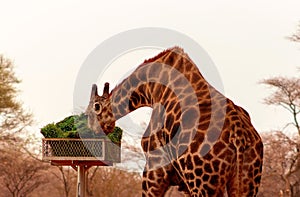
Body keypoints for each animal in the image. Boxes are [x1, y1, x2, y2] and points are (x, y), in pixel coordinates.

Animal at [86, 47, 262, 196]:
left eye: (89, 113)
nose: (90, 131)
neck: (151, 88)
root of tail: (239, 136)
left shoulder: (156, 167)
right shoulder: (183, 182)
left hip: (204, 185)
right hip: (246, 182)